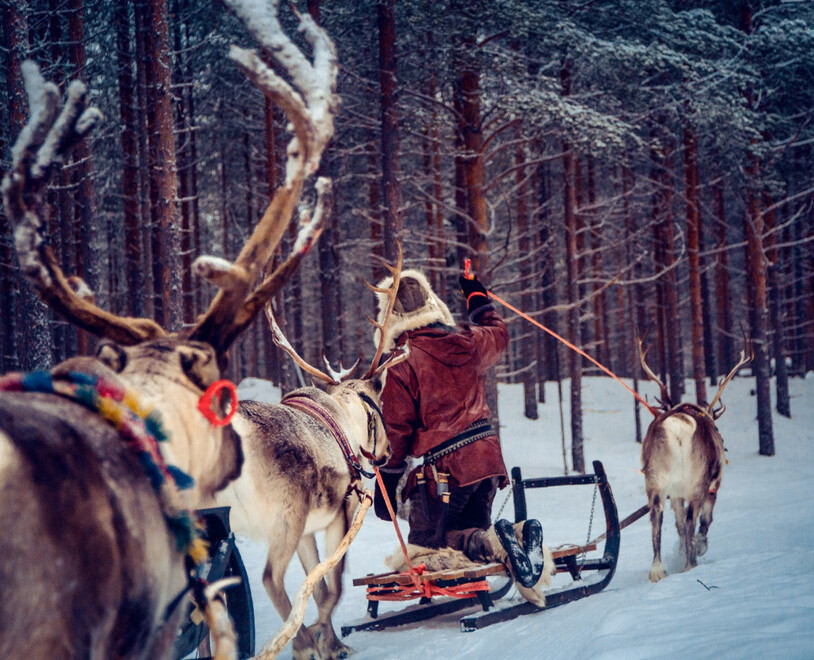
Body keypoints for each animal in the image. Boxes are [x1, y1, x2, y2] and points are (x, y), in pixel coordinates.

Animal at [206, 248, 407, 660]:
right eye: (381, 405)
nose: (388, 452)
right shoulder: (339, 515)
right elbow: (334, 583)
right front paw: (328, 641)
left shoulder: (307, 532)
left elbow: (317, 584)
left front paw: (328, 640)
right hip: (287, 513)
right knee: (270, 578)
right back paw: (298, 642)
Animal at [638, 337, 752, 583]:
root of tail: (679, 426)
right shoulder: (712, 487)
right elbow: (705, 522)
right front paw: (699, 547)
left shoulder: (675, 494)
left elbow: (679, 525)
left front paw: (683, 549)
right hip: (697, 483)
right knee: (693, 519)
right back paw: (690, 564)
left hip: (656, 483)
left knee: (657, 518)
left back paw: (657, 570)